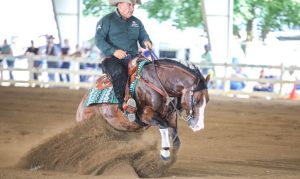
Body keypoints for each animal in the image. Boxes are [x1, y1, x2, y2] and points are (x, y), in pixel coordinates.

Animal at [76, 57, 210, 159]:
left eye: (207, 101)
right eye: (196, 100)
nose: (199, 126)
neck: (158, 83)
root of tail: (82, 103)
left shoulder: (170, 116)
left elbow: (176, 140)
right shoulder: (145, 114)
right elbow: (163, 126)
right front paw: (165, 153)